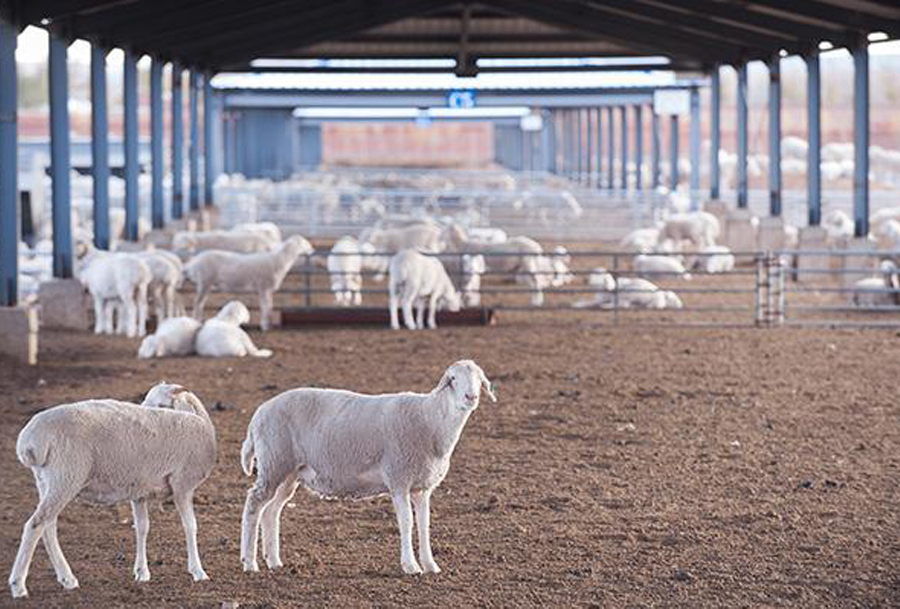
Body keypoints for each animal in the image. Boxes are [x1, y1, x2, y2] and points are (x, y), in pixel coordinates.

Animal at [9, 382, 216, 596]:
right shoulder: (182, 484)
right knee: (35, 525)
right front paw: (198, 571)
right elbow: (190, 526)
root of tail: (30, 440)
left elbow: (142, 527)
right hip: (66, 477)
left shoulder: (139, 491)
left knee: (48, 527)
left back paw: (67, 579)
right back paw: (18, 586)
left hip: (46, 481)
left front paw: (142, 572)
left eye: (161, 405)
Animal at [183, 234, 312, 330]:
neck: (279, 260)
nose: (313, 250)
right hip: (204, 282)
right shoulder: (264, 287)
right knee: (197, 303)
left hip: (206, 284)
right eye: (305, 242)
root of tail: (193, 263)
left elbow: (267, 306)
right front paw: (265, 326)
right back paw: (196, 321)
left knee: (200, 304)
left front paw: (266, 324)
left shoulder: (264, 290)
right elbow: (266, 307)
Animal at [237, 358, 500, 572]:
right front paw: (411, 566)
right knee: (254, 505)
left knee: (271, 511)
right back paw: (249, 563)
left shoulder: (422, 486)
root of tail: (258, 413)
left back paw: (274, 561)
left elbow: (424, 524)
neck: (430, 421)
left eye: (479, 379)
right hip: (273, 462)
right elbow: (407, 522)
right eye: (453, 379)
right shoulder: (398, 478)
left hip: (288, 472)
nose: (471, 397)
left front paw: (430, 565)